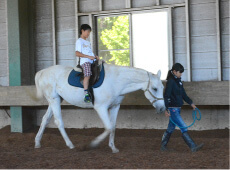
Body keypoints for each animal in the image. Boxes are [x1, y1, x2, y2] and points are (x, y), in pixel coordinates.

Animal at [33, 63, 165, 153]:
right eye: (154, 88)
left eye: (162, 88)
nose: (162, 108)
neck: (116, 81)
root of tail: (42, 72)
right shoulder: (101, 107)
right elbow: (108, 127)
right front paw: (92, 145)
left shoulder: (115, 106)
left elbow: (113, 127)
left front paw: (113, 147)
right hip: (54, 100)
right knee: (58, 122)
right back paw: (70, 144)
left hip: (55, 100)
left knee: (45, 120)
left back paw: (37, 142)